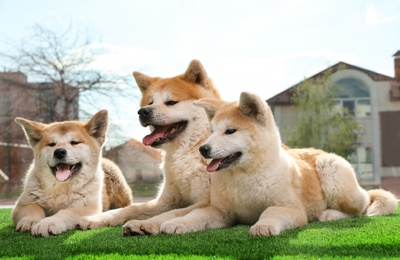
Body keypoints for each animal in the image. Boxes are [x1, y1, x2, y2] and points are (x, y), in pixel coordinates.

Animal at [79, 59, 222, 232]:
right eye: (150, 102)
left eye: (171, 102)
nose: (143, 111)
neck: (190, 151)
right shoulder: (167, 200)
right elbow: (131, 208)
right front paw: (98, 218)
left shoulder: (206, 201)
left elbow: (173, 213)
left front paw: (146, 224)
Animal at [153, 92, 396, 237]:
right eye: (211, 132)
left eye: (230, 131)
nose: (203, 149)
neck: (245, 177)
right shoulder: (220, 211)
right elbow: (196, 215)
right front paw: (178, 224)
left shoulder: (292, 209)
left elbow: (271, 210)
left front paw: (263, 225)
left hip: (332, 172)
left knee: (361, 207)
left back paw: (329, 214)